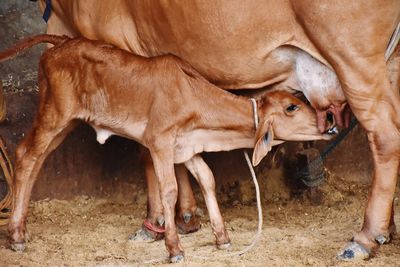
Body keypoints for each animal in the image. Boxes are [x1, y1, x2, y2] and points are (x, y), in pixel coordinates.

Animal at [0, 35, 332, 264]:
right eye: (291, 107)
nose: (329, 120)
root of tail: (61, 42)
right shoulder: (159, 141)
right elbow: (169, 190)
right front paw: (174, 248)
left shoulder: (187, 146)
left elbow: (207, 179)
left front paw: (222, 238)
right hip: (54, 115)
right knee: (26, 156)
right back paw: (15, 235)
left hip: (65, 123)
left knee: (36, 161)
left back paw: (21, 229)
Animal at [36, 0, 400, 260]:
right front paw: (186, 217)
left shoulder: (119, 45)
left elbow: (145, 148)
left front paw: (157, 223)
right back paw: (389, 227)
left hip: (354, 56)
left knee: (385, 135)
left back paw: (366, 237)